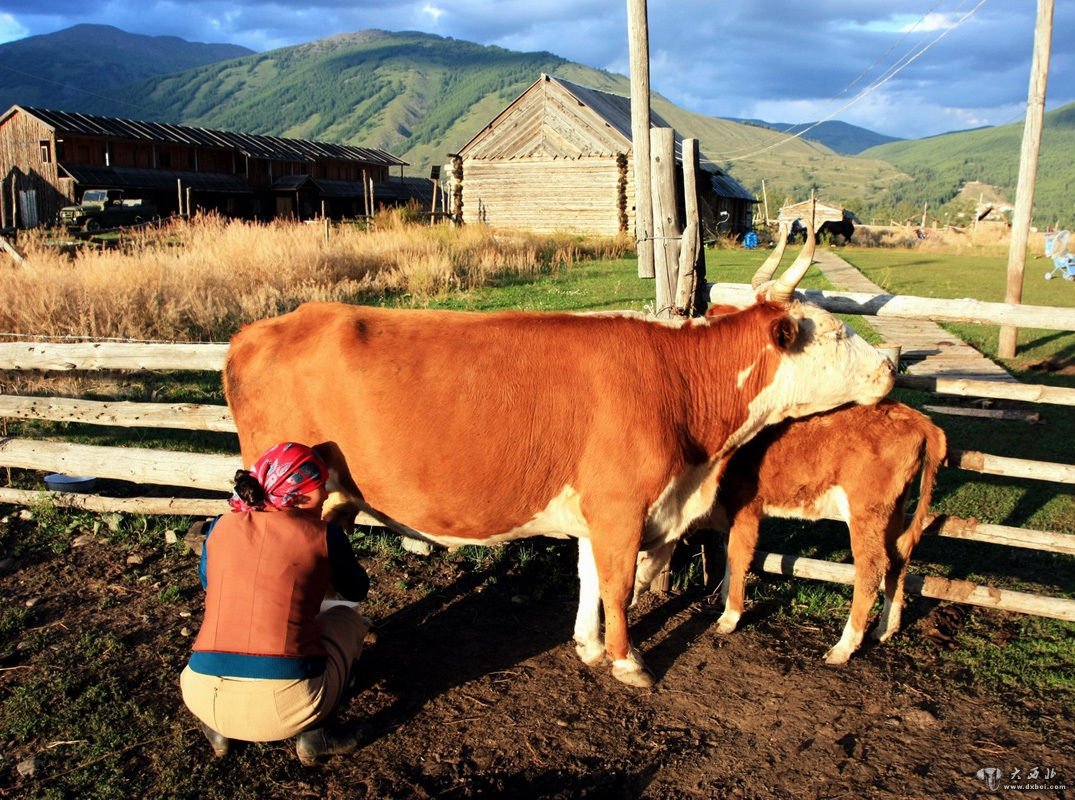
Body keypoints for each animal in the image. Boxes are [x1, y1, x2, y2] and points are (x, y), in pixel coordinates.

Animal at [224, 259, 890, 683]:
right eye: (836, 332)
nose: (889, 363)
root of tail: (260, 329)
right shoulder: (620, 505)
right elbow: (618, 585)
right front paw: (627, 662)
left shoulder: (598, 510)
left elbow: (590, 578)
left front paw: (589, 646)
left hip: (333, 495)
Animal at [632, 402, 946, 666]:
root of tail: (914, 417)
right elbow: (730, 557)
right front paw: (723, 598)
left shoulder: (747, 511)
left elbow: (739, 557)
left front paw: (729, 617)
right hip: (893, 511)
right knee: (898, 560)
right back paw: (885, 629)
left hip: (866, 512)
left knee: (872, 569)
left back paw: (843, 648)